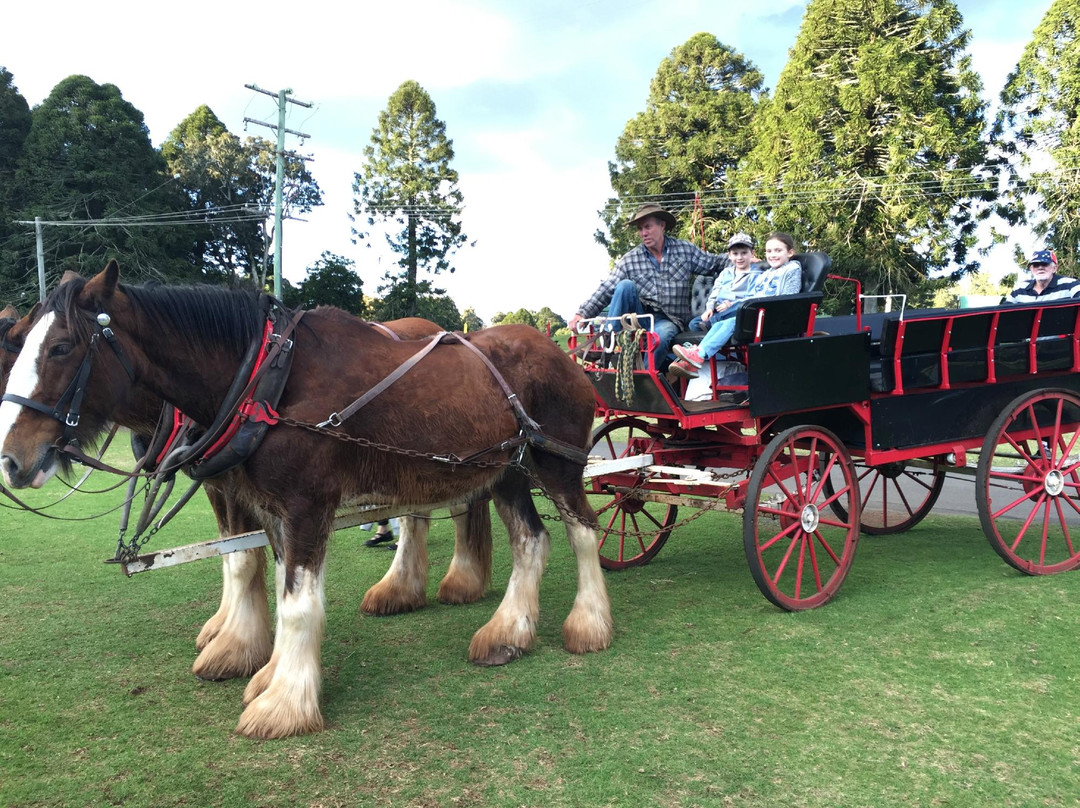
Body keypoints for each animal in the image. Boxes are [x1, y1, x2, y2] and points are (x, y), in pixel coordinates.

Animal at [0, 302, 494, 682]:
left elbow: (244, 557)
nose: (11, 460)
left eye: (58, 350)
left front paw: (236, 644)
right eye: (16, 350)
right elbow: (237, 554)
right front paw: (229, 634)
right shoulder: (225, 485)